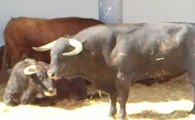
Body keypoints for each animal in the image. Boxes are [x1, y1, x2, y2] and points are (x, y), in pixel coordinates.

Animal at [33, 23, 195, 119]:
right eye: (51, 54)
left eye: (63, 54)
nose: (51, 73)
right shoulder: (109, 80)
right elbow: (112, 98)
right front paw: (111, 113)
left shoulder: (123, 78)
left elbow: (122, 99)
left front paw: (122, 114)